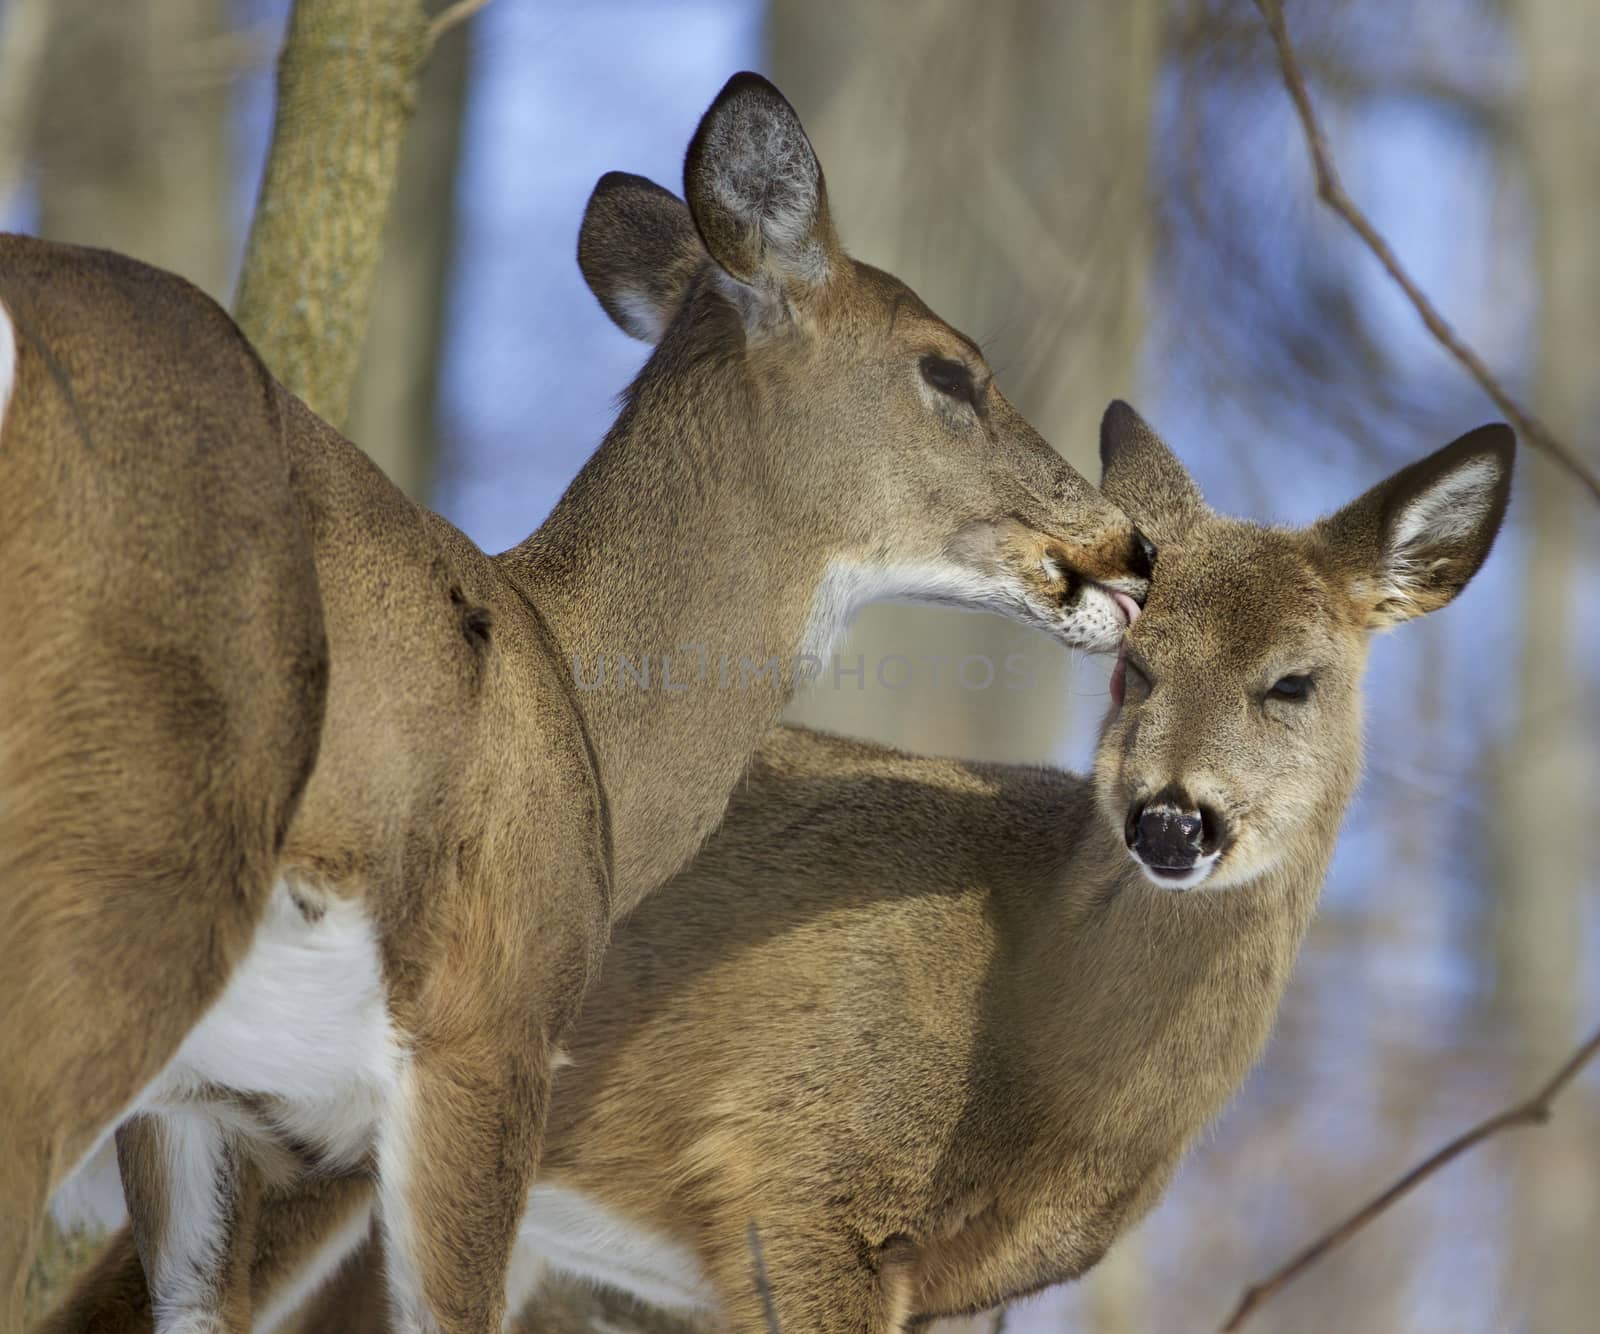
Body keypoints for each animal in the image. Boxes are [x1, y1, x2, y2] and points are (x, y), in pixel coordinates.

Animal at [3, 75, 1152, 1330]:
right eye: (948, 370)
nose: (1132, 550)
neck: (584, 716)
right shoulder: (491, 1024)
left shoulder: (208, 1100)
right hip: (119, 860)